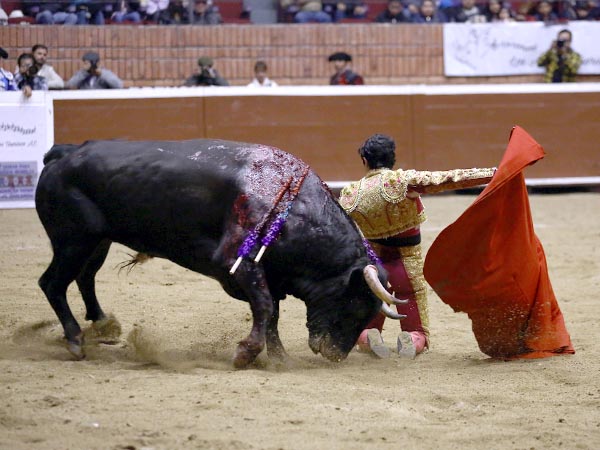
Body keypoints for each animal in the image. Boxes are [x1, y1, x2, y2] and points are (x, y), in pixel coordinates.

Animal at [35, 139, 400, 368]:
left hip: (97, 242)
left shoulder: (267, 276)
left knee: (85, 277)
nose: (335, 354)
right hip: (73, 240)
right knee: (52, 283)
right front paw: (246, 354)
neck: (291, 209)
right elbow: (265, 308)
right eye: (355, 304)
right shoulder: (237, 265)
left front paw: (279, 358)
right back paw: (75, 340)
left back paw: (103, 326)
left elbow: (271, 315)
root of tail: (63, 154)